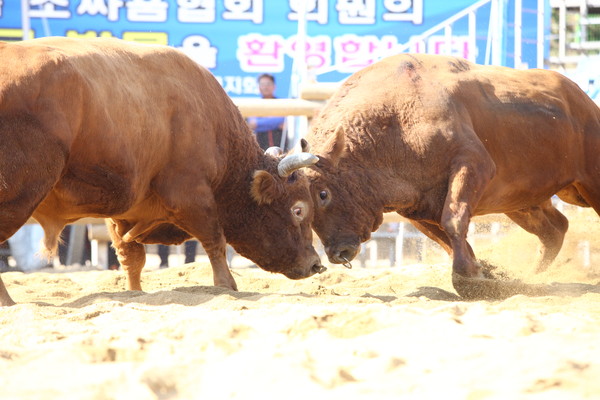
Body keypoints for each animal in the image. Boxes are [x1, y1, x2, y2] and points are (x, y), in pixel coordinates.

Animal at [0, 38, 326, 306]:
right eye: (298, 210)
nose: (316, 264)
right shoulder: (192, 196)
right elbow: (215, 242)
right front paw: (227, 286)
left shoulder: (125, 213)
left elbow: (132, 258)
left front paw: (134, 292)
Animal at [304, 53, 600, 296]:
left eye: (323, 194)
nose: (336, 253)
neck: (394, 117)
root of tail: (584, 101)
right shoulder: (416, 209)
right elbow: (445, 238)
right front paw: (482, 272)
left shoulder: (473, 164)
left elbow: (454, 219)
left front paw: (468, 278)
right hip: (522, 201)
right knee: (556, 229)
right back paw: (529, 276)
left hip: (588, 183)